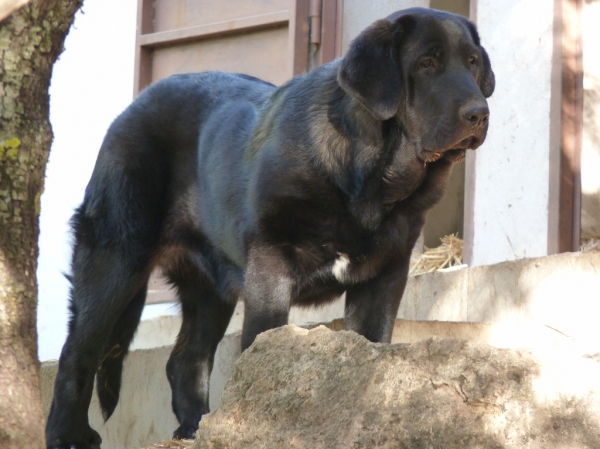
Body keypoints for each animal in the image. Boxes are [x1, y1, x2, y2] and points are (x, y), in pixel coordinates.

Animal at [47, 7, 494, 448]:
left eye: (472, 63)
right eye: (426, 63)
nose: (479, 113)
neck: (368, 173)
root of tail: (130, 108)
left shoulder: (384, 276)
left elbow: (371, 346)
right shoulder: (270, 266)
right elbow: (262, 345)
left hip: (210, 286)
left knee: (185, 360)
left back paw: (197, 428)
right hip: (116, 259)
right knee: (76, 352)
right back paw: (68, 434)